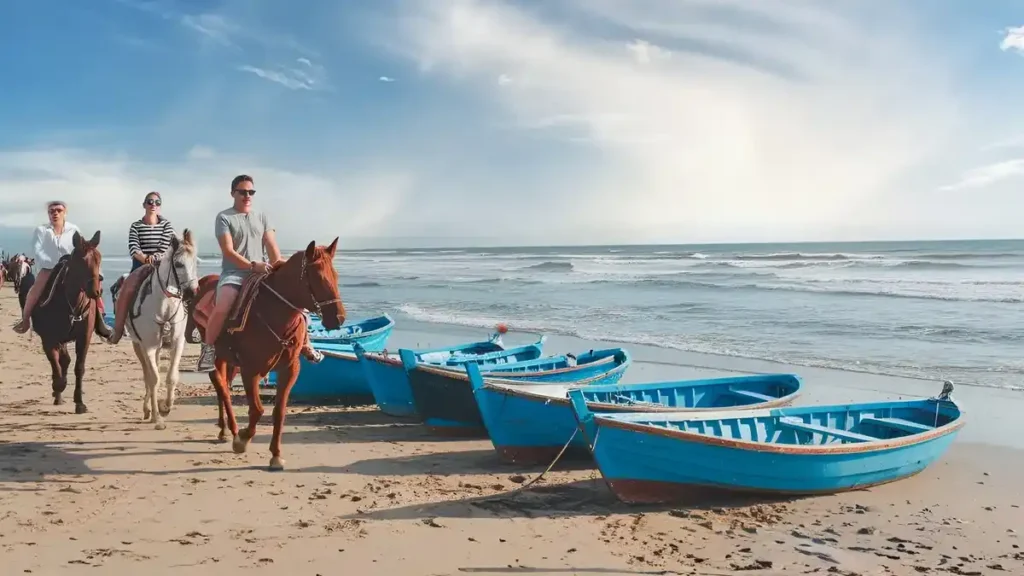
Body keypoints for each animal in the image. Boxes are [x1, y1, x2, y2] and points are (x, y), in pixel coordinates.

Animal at [29, 231, 105, 413]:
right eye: (80, 261)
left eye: (99, 258)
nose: (96, 291)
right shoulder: (49, 338)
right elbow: (54, 363)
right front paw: (59, 386)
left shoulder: (84, 337)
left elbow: (78, 367)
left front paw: (79, 402)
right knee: (61, 361)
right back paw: (58, 393)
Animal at [123, 230, 201, 430]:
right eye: (179, 264)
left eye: (196, 262)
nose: (192, 293)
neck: (163, 307)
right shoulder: (148, 345)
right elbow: (154, 379)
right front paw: (158, 417)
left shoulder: (177, 342)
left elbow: (171, 376)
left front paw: (165, 407)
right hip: (139, 345)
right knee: (148, 375)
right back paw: (148, 410)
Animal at [188, 238, 345, 471]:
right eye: (317, 277)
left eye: (336, 276)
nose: (339, 318)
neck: (274, 313)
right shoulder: (250, 370)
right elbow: (257, 410)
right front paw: (243, 439)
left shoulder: (290, 369)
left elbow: (279, 411)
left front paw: (276, 455)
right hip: (217, 354)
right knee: (220, 385)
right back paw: (232, 430)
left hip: (229, 360)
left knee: (223, 385)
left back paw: (225, 430)